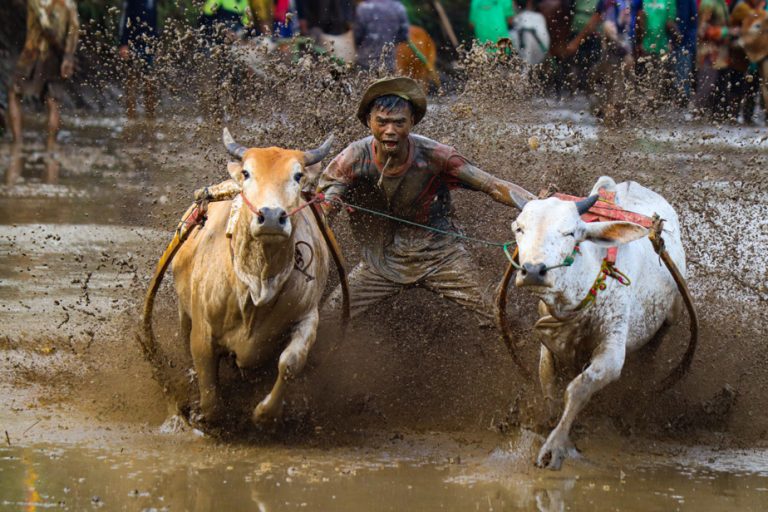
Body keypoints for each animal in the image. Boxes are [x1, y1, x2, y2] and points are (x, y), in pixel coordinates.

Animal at [171, 130, 330, 426]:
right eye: (247, 172)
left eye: (298, 175)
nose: (271, 217)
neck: (259, 281)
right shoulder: (202, 330)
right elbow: (209, 389)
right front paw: (204, 415)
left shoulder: (307, 315)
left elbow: (290, 362)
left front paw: (265, 413)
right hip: (183, 312)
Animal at [512, 178, 688, 470]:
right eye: (519, 228)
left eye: (570, 232)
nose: (534, 271)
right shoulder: (548, 340)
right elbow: (547, 381)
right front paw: (547, 422)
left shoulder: (612, 353)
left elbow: (578, 389)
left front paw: (554, 447)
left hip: (671, 314)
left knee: (655, 348)